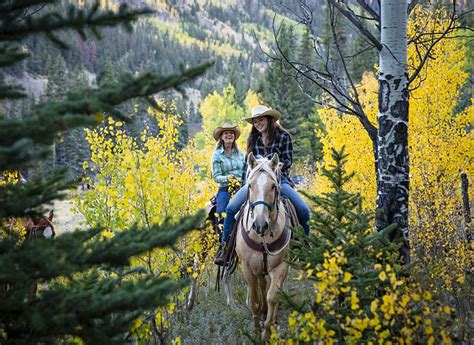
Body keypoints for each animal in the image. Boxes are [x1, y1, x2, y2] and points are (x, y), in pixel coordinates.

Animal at [231, 153, 290, 338]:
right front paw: (256, 328)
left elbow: (273, 296)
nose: (259, 225)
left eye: (273, 186)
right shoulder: (248, 267)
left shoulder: (280, 266)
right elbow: (254, 298)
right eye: (250, 185)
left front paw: (267, 331)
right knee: (262, 285)